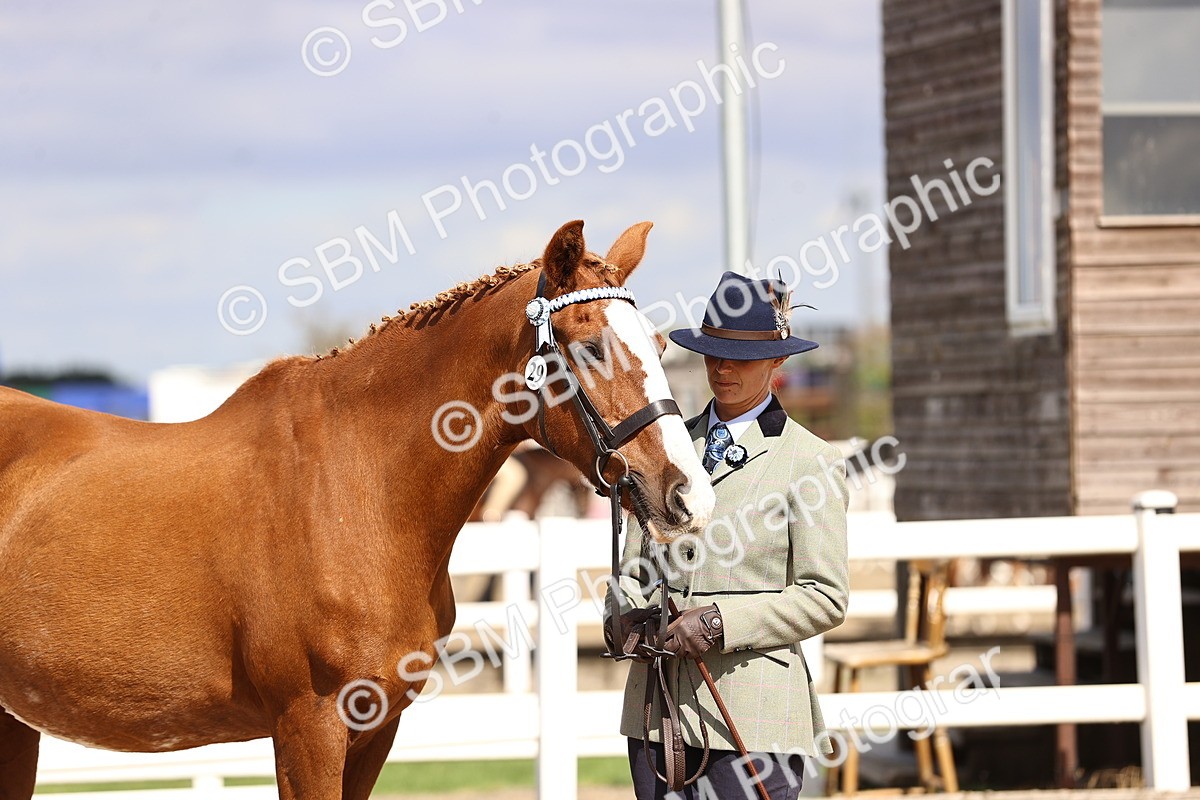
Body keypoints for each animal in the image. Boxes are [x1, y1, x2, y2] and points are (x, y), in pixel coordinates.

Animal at [0, 220, 715, 800]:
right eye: (591, 347)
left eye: (658, 344)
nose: (689, 494)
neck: (360, 489)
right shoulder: (309, 727)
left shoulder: (377, 728)